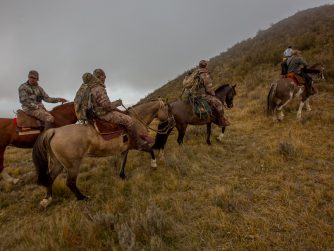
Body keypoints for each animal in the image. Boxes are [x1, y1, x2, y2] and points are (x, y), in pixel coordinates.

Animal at [32, 99, 172, 207]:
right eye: (168, 109)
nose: (172, 122)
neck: (136, 121)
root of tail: (54, 131)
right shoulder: (139, 145)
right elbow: (151, 150)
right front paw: (154, 165)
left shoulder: (124, 149)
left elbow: (123, 162)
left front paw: (122, 176)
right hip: (73, 165)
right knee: (70, 183)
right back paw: (83, 198)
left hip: (59, 163)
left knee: (50, 178)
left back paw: (47, 199)